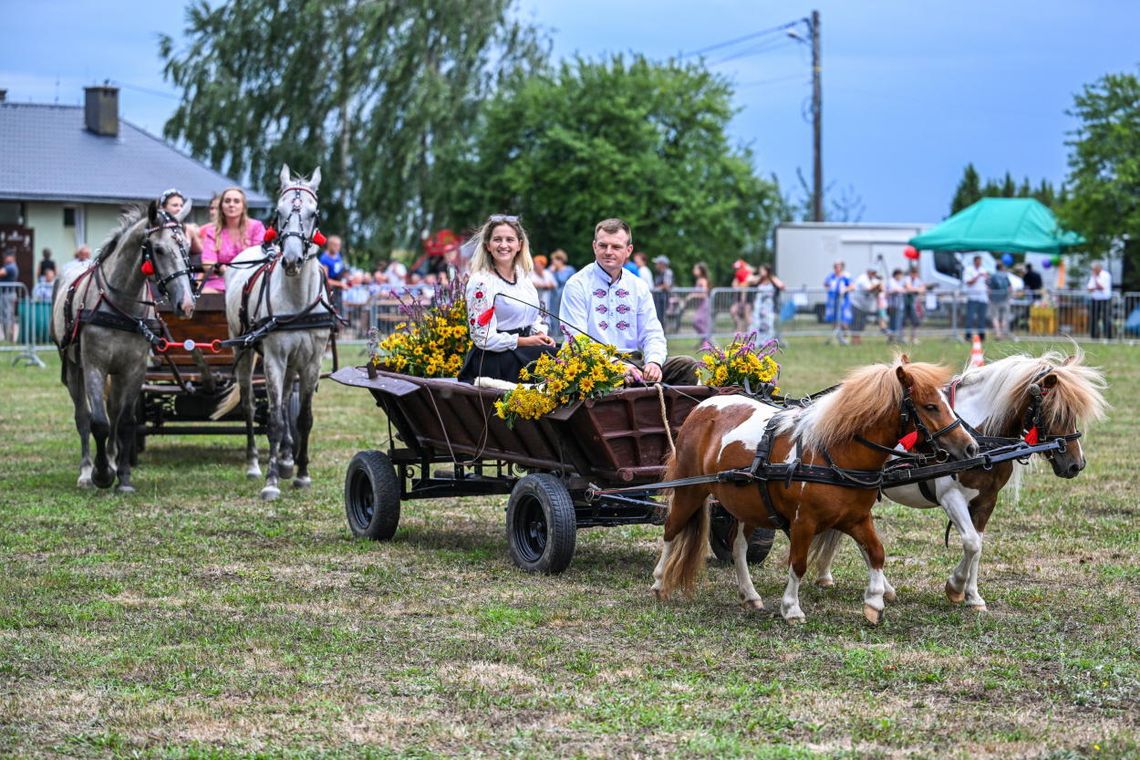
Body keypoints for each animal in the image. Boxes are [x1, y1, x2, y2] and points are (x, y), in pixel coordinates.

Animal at [50, 199, 196, 489]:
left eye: (186, 246)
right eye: (159, 249)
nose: (186, 304)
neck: (122, 306)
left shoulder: (134, 369)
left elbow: (125, 421)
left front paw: (123, 475)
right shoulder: (95, 366)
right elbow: (98, 423)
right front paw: (101, 474)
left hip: (116, 374)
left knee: (114, 412)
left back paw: (113, 460)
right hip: (73, 367)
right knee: (83, 416)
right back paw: (86, 470)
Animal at [652, 357, 980, 624]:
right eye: (930, 406)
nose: (971, 447)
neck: (834, 454)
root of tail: (703, 406)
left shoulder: (857, 518)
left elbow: (876, 553)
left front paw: (874, 601)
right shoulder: (803, 522)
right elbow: (798, 563)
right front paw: (791, 608)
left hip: (750, 505)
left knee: (738, 547)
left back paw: (750, 595)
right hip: (690, 490)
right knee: (671, 531)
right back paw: (658, 582)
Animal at [816, 353, 1108, 610]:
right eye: (1055, 412)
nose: (1076, 464)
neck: (980, 438)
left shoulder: (987, 499)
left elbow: (978, 545)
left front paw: (972, 596)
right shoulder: (951, 497)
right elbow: (970, 542)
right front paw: (955, 586)